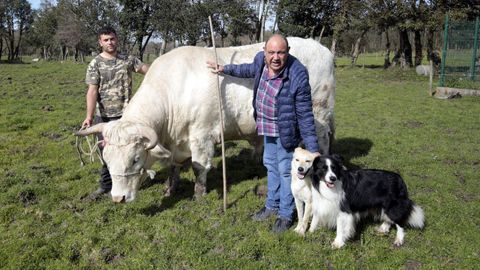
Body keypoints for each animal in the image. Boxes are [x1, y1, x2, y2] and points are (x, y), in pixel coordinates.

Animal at [77, 38, 336, 202]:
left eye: (135, 159)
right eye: (107, 159)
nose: (118, 198)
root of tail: (321, 47)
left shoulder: (201, 136)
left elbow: (198, 166)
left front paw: (198, 195)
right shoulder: (174, 142)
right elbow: (173, 167)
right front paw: (169, 189)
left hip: (318, 115)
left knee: (322, 142)